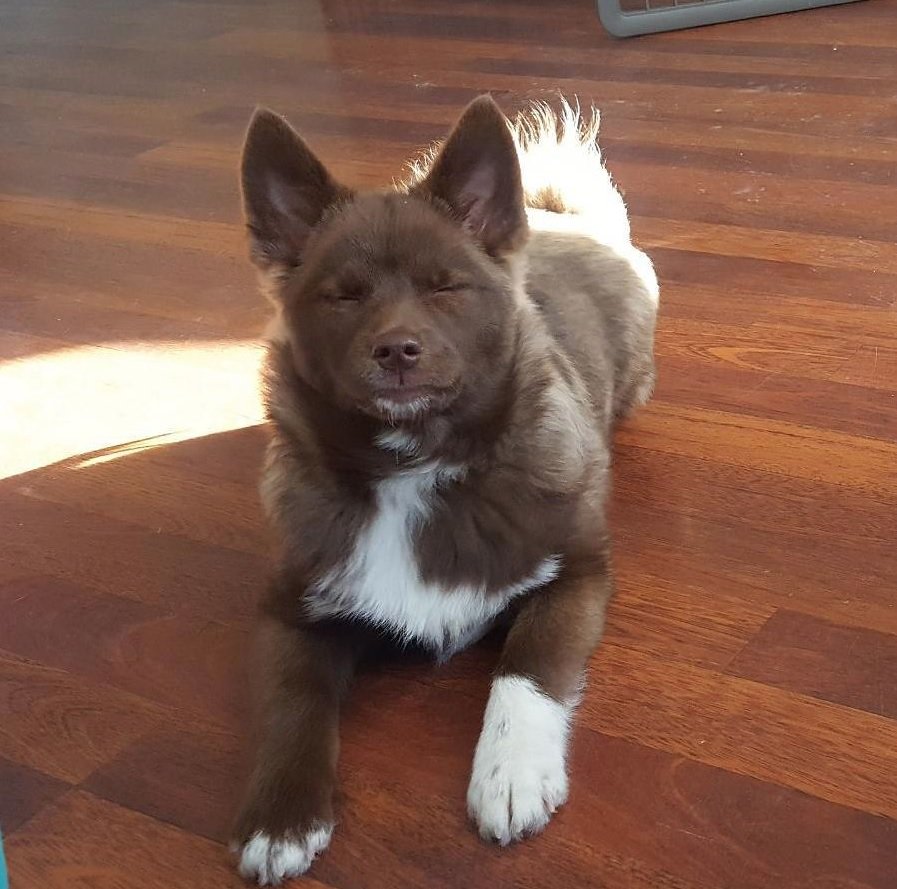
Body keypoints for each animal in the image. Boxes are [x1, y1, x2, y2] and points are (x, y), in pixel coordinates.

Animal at [231, 93, 656, 884]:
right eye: (342, 296)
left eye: (445, 287)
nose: (397, 349)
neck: (416, 467)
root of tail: (556, 214)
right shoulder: (289, 607)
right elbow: (292, 700)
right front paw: (279, 815)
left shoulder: (576, 574)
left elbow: (526, 668)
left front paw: (509, 771)